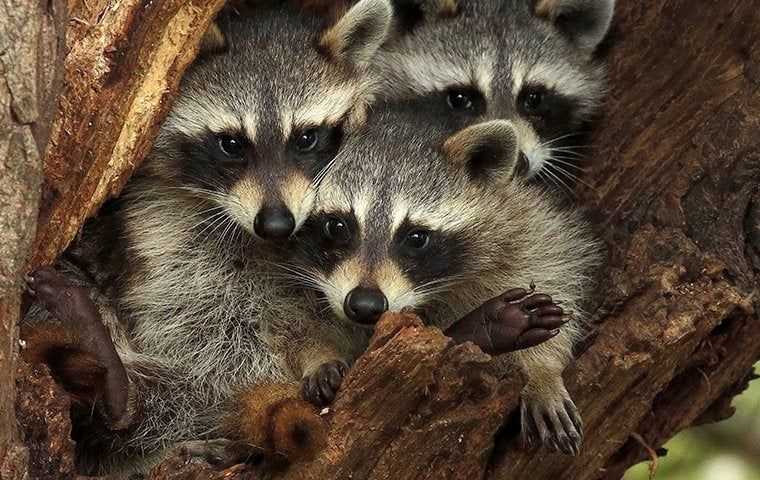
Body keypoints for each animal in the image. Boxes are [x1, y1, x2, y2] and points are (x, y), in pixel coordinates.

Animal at [22, 0, 392, 472]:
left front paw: (320, 356)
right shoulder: (159, 225)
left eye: (307, 137)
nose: (277, 223)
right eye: (231, 143)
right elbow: (199, 325)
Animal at [294, 97, 604, 454]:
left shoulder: (523, 218)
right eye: (337, 226)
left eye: (416, 237)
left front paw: (542, 372)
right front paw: (318, 353)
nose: (364, 305)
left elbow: (555, 269)